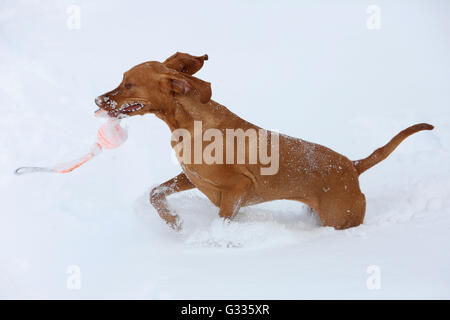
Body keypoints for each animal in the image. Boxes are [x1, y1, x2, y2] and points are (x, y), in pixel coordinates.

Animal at [94, 52, 432, 229]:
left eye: (128, 84)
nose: (97, 99)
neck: (190, 125)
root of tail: (352, 165)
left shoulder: (238, 188)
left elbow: (222, 219)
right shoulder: (190, 176)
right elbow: (155, 193)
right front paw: (173, 221)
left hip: (341, 219)